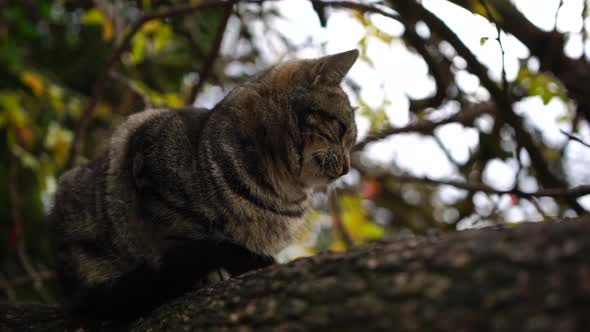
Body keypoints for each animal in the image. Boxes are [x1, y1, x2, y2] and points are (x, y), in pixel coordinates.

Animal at [48, 48, 358, 320]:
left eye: (351, 141)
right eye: (341, 129)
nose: (346, 169)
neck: (280, 191)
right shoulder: (147, 165)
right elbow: (183, 237)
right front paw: (212, 272)